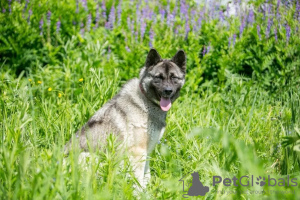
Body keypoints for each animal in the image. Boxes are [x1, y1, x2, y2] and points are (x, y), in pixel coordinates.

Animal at [65, 48, 185, 189]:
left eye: (174, 78)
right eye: (158, 78)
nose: (168, 90)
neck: (146, 101)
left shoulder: (147, 151)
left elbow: (146, 176)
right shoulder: (137, 152)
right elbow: (138, 180)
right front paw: (140, 192)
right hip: (92, 157)